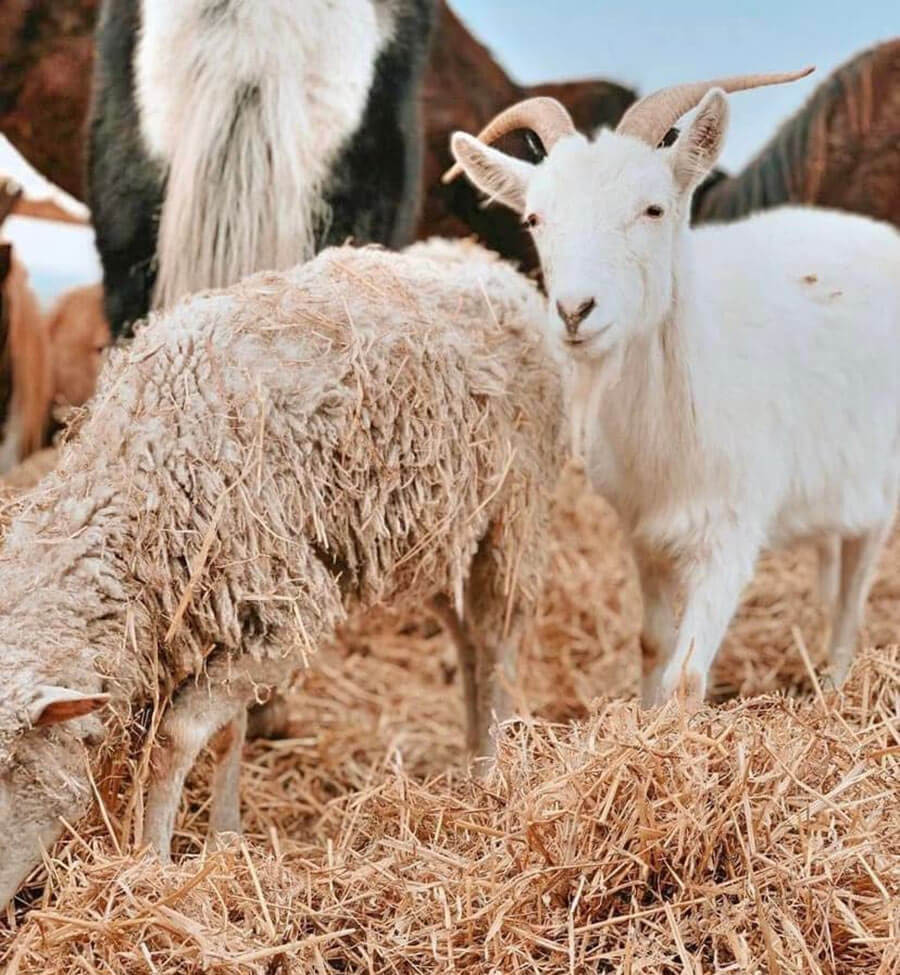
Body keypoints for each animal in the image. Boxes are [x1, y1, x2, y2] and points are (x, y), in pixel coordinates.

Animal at [0, 240, 564, 912]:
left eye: (7, 770)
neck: (144, 476)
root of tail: (494, 265)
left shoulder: (285, 614)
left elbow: (177, 738)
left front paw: (152, 863)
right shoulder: (231, 610)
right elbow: (228, 732)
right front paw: (225, 838)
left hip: (514, 512)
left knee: (500, 636)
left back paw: (496, 771)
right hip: (441, 535)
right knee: (469, 637)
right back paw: (475, 763)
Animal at [446, 72, 900, 704]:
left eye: (653, 208)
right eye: (534, 218)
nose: (575, 311)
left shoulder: (732, 531)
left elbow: (686, 676)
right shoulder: (644, 534)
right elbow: (652, 644)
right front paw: (644, 711)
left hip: (880, 484)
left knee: (854, 592)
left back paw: (834, 682)